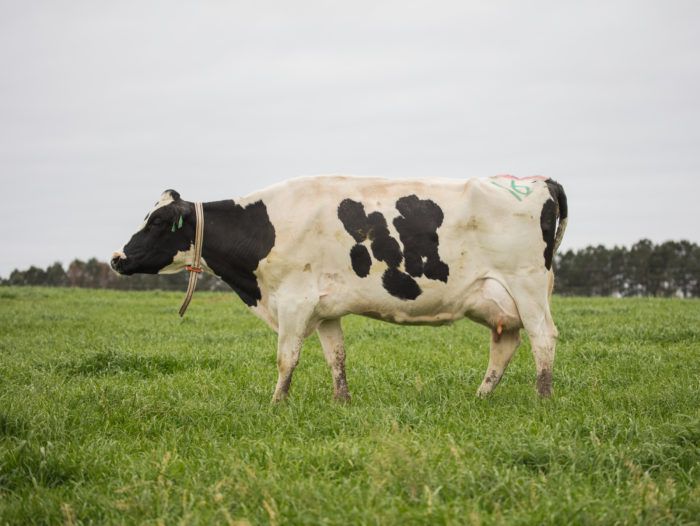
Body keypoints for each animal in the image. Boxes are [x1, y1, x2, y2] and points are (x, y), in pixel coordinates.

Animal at [111, 175, 568, 402]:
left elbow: (286, 359)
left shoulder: (293, 301)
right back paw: (481, 396)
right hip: (499, 300)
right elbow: (336, 357)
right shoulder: (325, 309)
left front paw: (276, 404)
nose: (116, 257)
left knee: (543, 337)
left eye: (157, 221)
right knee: (505, 344)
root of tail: (537, 181)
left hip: (526, 284)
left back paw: (542, 398)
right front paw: (341, 401)